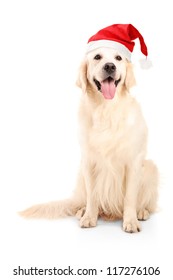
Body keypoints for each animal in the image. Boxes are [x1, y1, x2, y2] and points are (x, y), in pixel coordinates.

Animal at [19, 47, 158, 233]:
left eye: (118, 58)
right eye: (97, 57)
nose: (110, 66)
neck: (106, 109)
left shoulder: (133, 161)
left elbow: (130, 197)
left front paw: (130, 221)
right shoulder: (89, 162)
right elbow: (92, 196)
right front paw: (89, 217)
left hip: (150, 167)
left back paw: (141, 212)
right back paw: (82, 210)